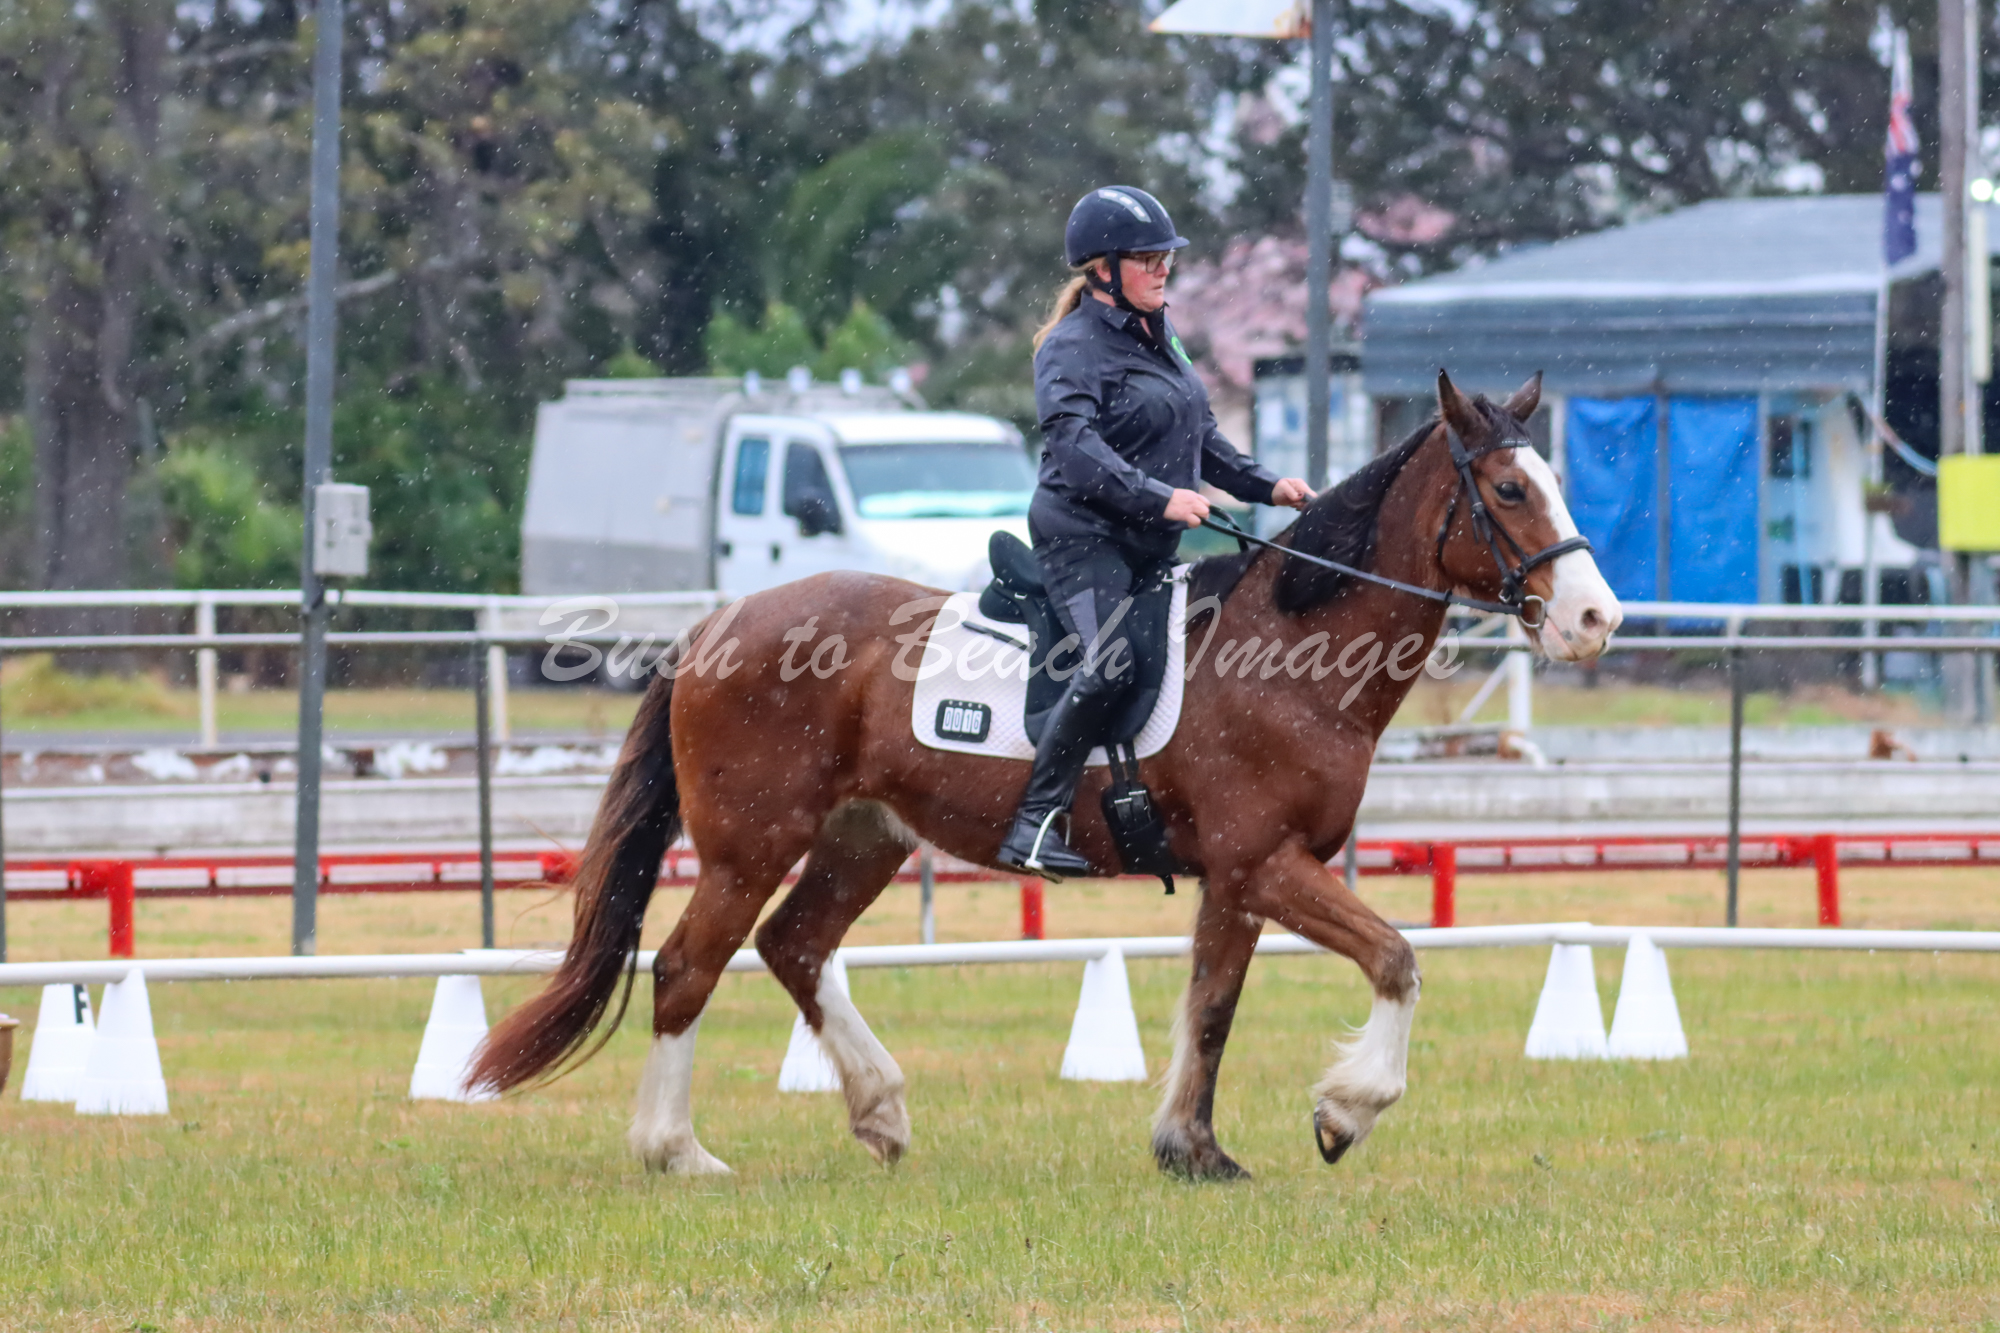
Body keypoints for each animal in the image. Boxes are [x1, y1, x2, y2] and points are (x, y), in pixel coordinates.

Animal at [468, 370, 1621, 1180]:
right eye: (1509, 488)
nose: (1594, 618)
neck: (1287, 652)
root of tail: (723, 617)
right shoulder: (1266, 863)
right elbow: (1395, 959)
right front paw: (1345, 1111)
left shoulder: (1236, 880)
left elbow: (1212, 1006)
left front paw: (1192, 1149)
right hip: (749, 844)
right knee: (685, 968)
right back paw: (677, 1150)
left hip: (860, 836)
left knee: (793, 946)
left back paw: (880, 1110)